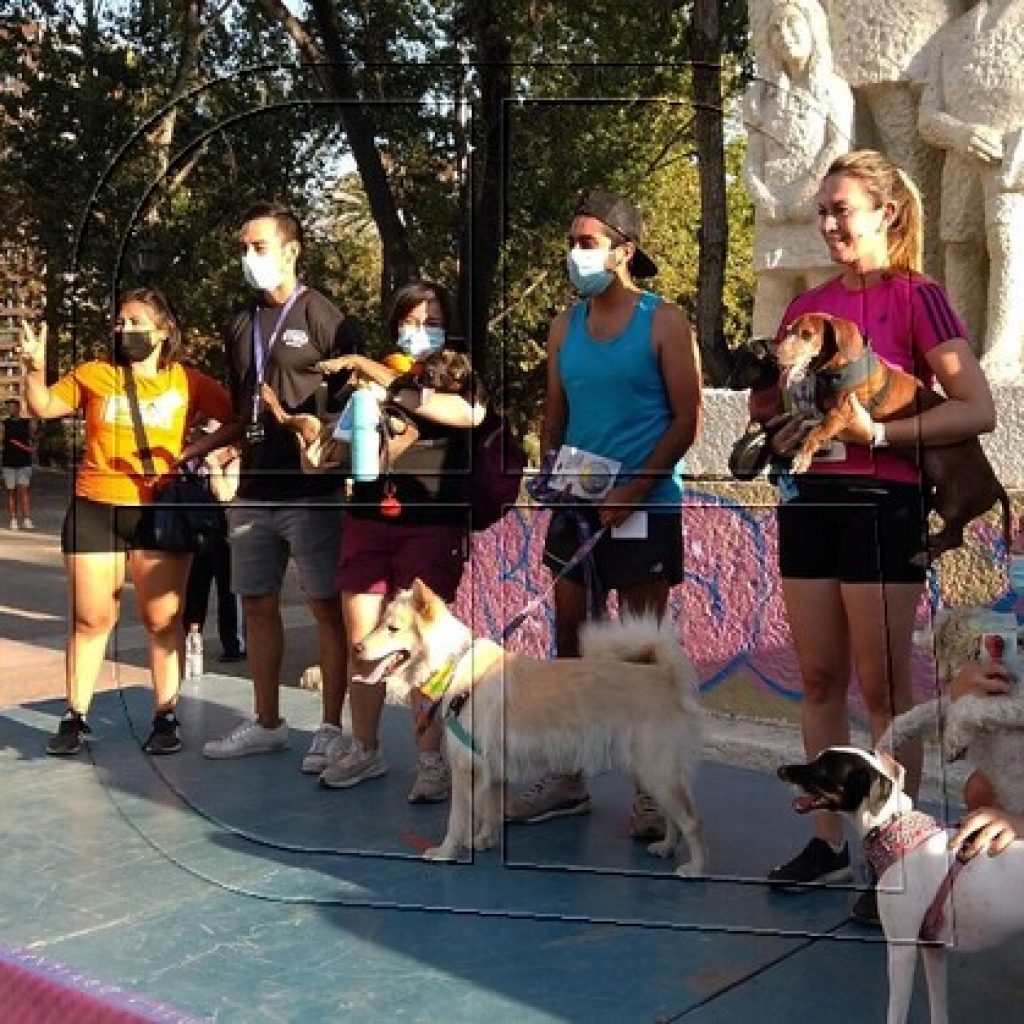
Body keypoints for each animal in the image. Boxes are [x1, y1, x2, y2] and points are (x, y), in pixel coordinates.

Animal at [352, 581, 704, 876]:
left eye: (393, 628)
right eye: (380, 623)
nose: (356, 648)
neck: (455, 664)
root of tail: (665, 676)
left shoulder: (466, 769)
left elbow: (458, 818)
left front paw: (446, 851)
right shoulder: (492, 770)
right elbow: (491, 810)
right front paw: (484, 840)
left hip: (657, 771)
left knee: (690, 820)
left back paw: (695, 868)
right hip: (653, 773)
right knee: (674, 818)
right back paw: (666, 847)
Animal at [778, 745, 1024, 1024]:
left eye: (822, 771)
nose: (781, 770)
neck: (894, 830)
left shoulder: (901, 951)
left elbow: (895, 1014)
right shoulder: (933, 947)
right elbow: (938, 1009)